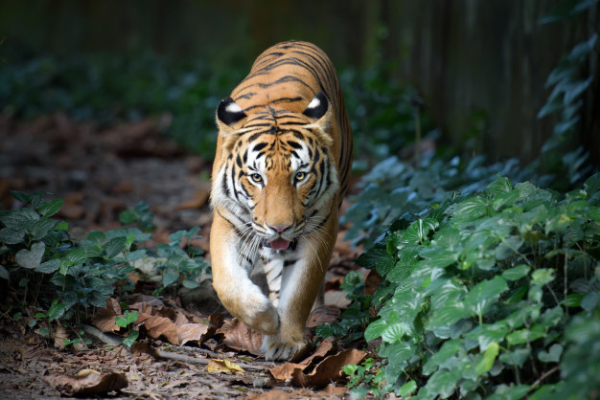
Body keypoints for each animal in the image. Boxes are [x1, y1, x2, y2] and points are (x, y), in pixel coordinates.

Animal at [210, 39, 352, 360]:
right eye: (256, 177)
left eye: (299, 176)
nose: (279, 228)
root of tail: (295, 40)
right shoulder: (227, 220)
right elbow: (226, 282)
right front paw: (264, 318)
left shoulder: (321, 228)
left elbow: (301, 289)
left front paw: (285, 340)